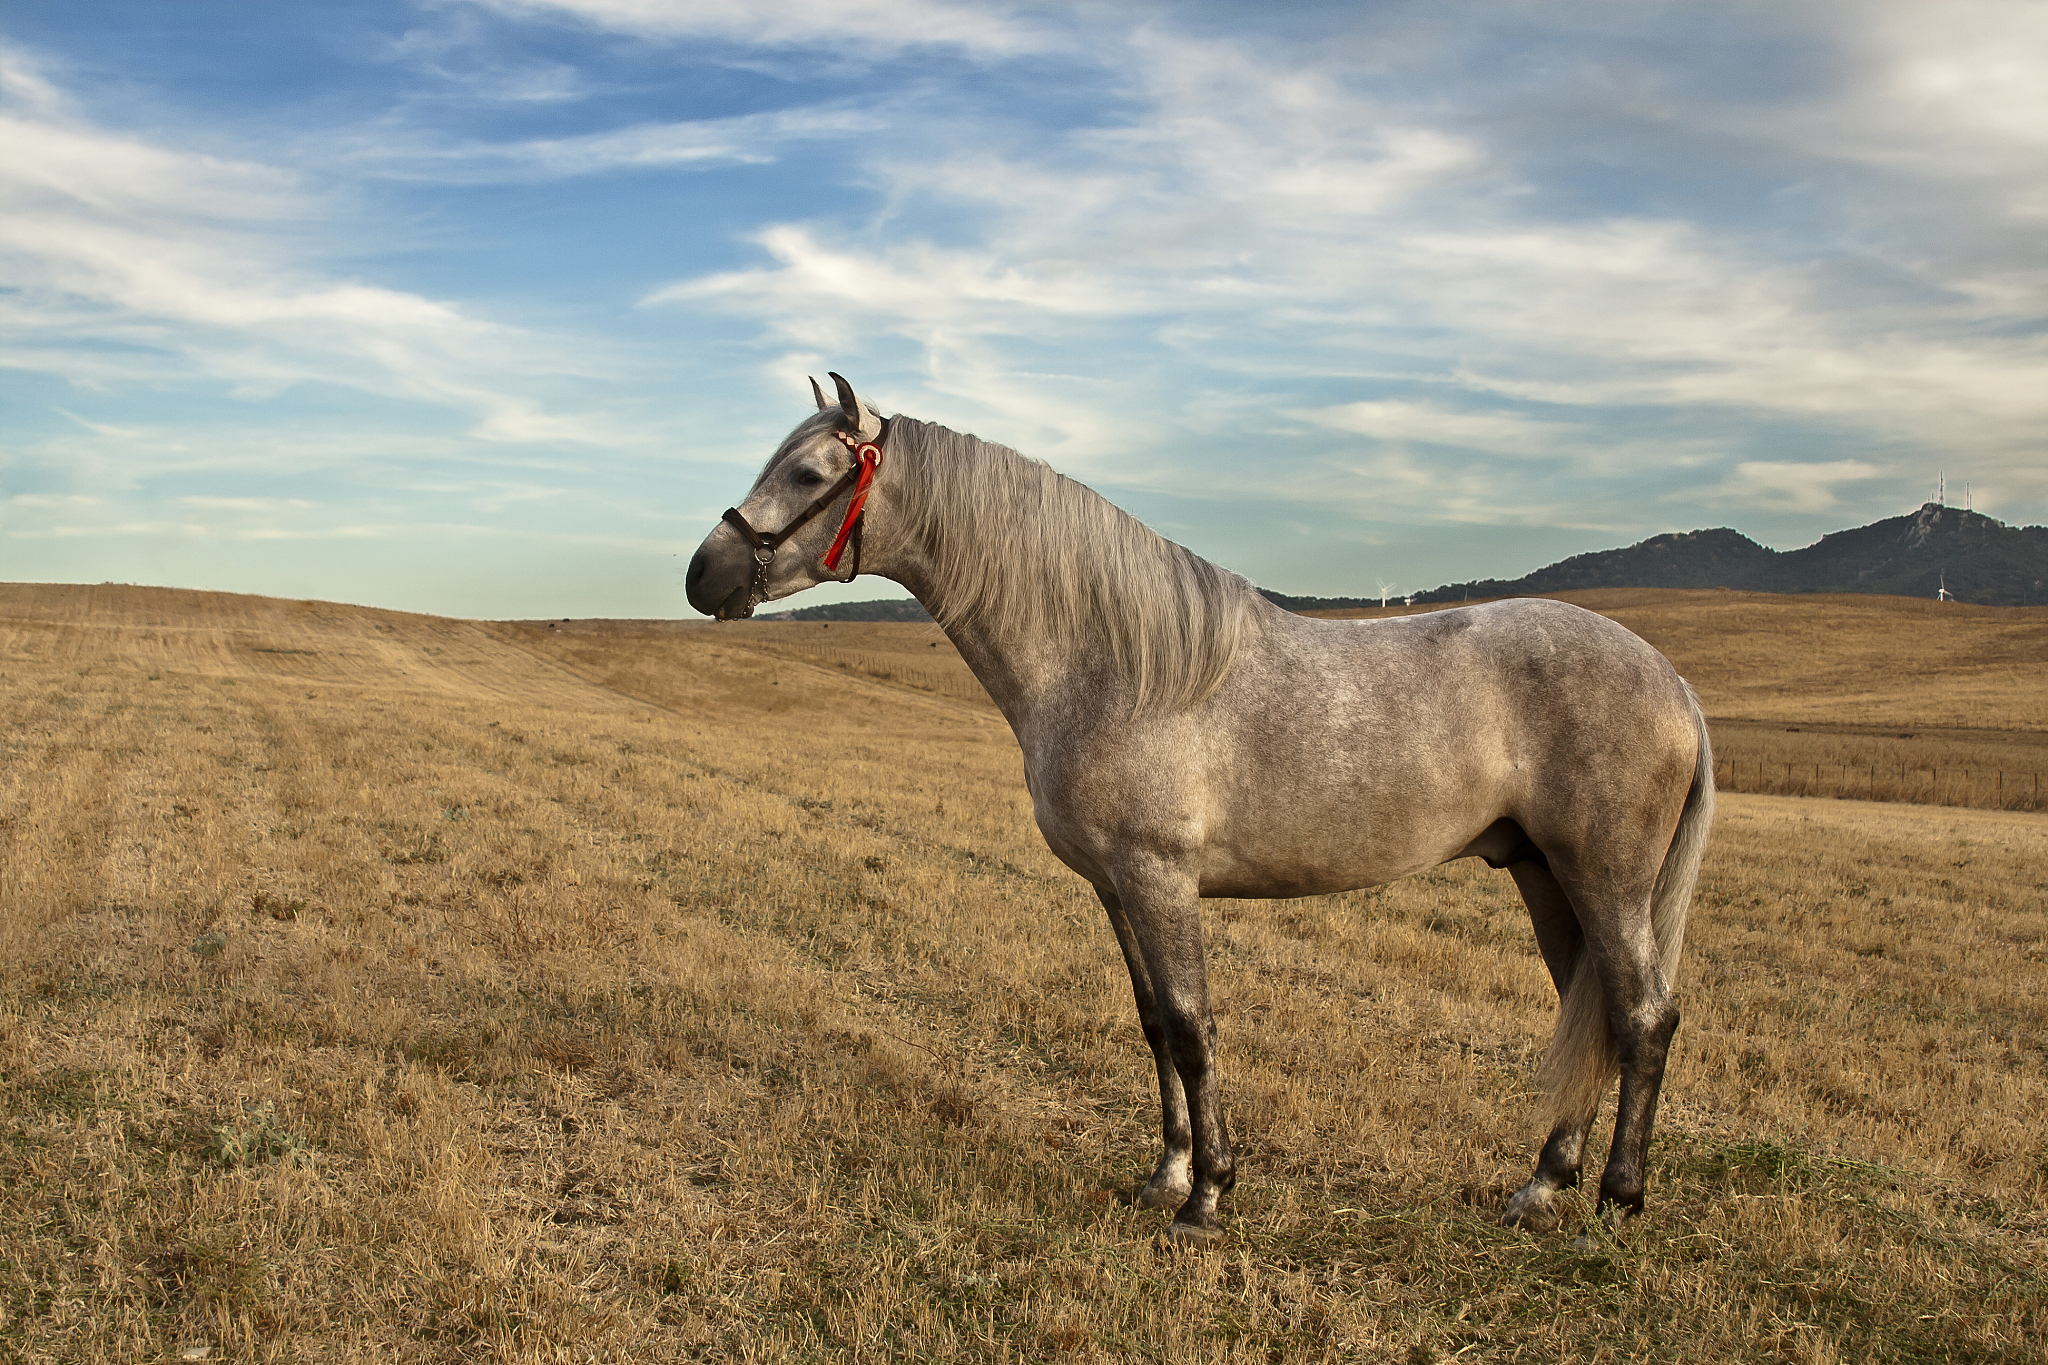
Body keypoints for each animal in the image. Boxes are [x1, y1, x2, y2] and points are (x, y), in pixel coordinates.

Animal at [685, 375, 1714, 1246]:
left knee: (1643, 1016)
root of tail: (1671, 681)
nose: (704, 574)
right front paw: (1167, 1176)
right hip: (1545, 875)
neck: (1111, 663)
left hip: (1605, 878)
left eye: (809, 473)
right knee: (1590, 1008)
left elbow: (1192, 1025)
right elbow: (1152, 1023)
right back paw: (1543, 1183)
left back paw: (1618, 1201)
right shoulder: (1116, 887)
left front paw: (1208, 1198)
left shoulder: (1160, 878)